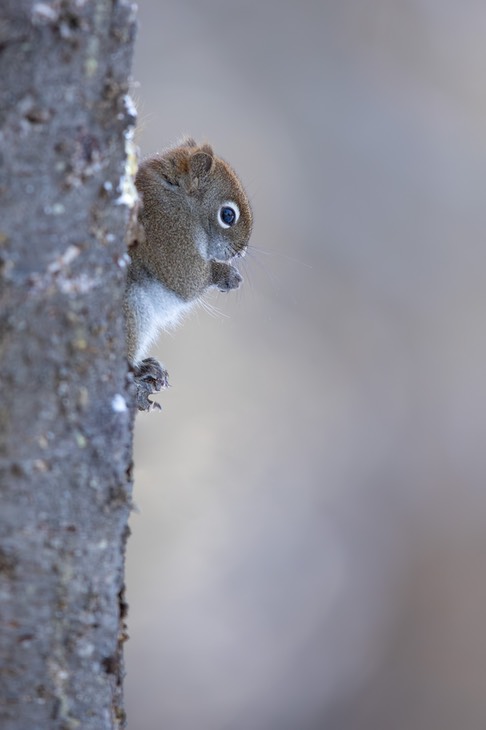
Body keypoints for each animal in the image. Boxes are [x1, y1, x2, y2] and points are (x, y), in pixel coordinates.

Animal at [124, 137, 254, 410]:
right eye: (228, 215)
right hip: (132, 308)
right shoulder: (167, 231)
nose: (241, 252)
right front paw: (225, 275)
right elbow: (187, 280)